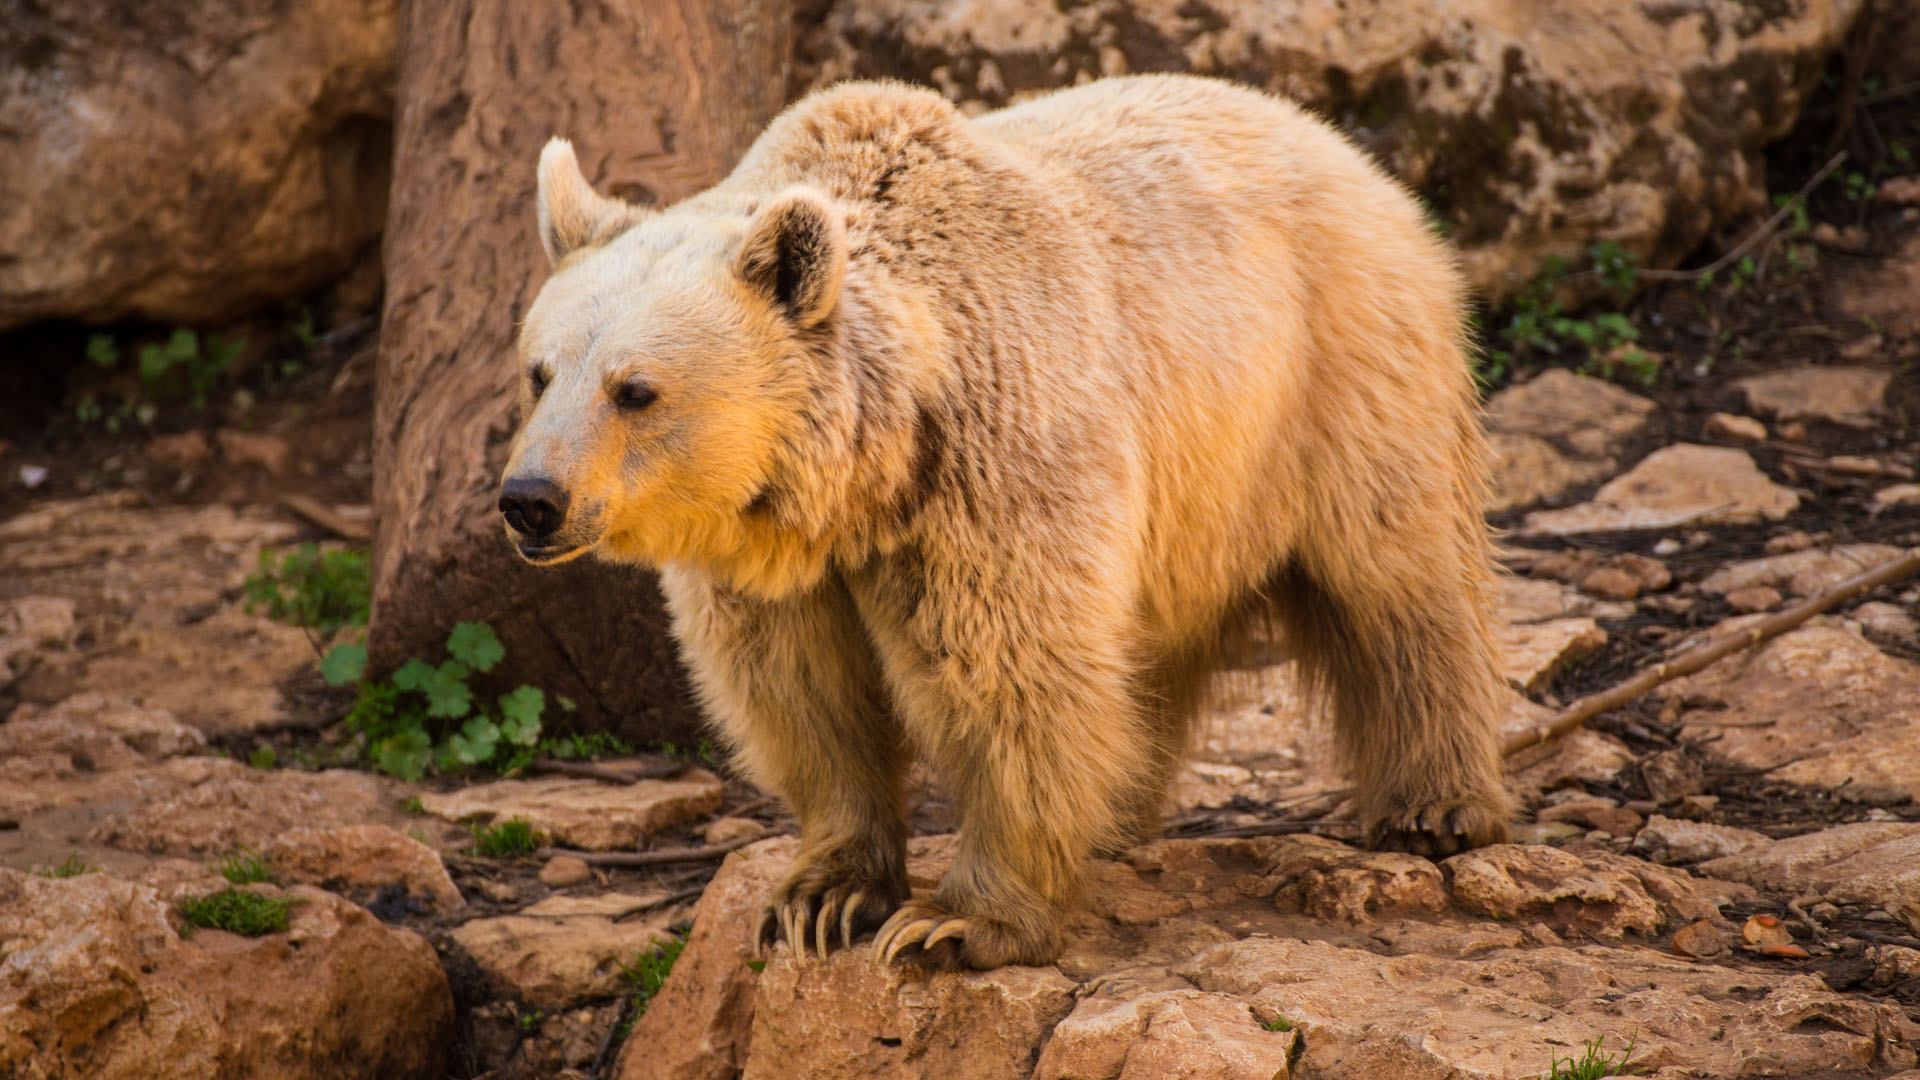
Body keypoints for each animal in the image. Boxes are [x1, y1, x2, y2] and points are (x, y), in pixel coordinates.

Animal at [499, 75, 1512, 968]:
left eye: (635, 389)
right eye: (540, 372)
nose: (530, 499)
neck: (863, 475)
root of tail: (1341, 145)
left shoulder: (993, 465)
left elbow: (1008, 671)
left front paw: (955, 925)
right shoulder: (768, 558)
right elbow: (801, 690)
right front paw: (822, 896)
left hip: (1336, 375)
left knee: (1400, 581)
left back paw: (1436, 805)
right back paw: (1121, 812)